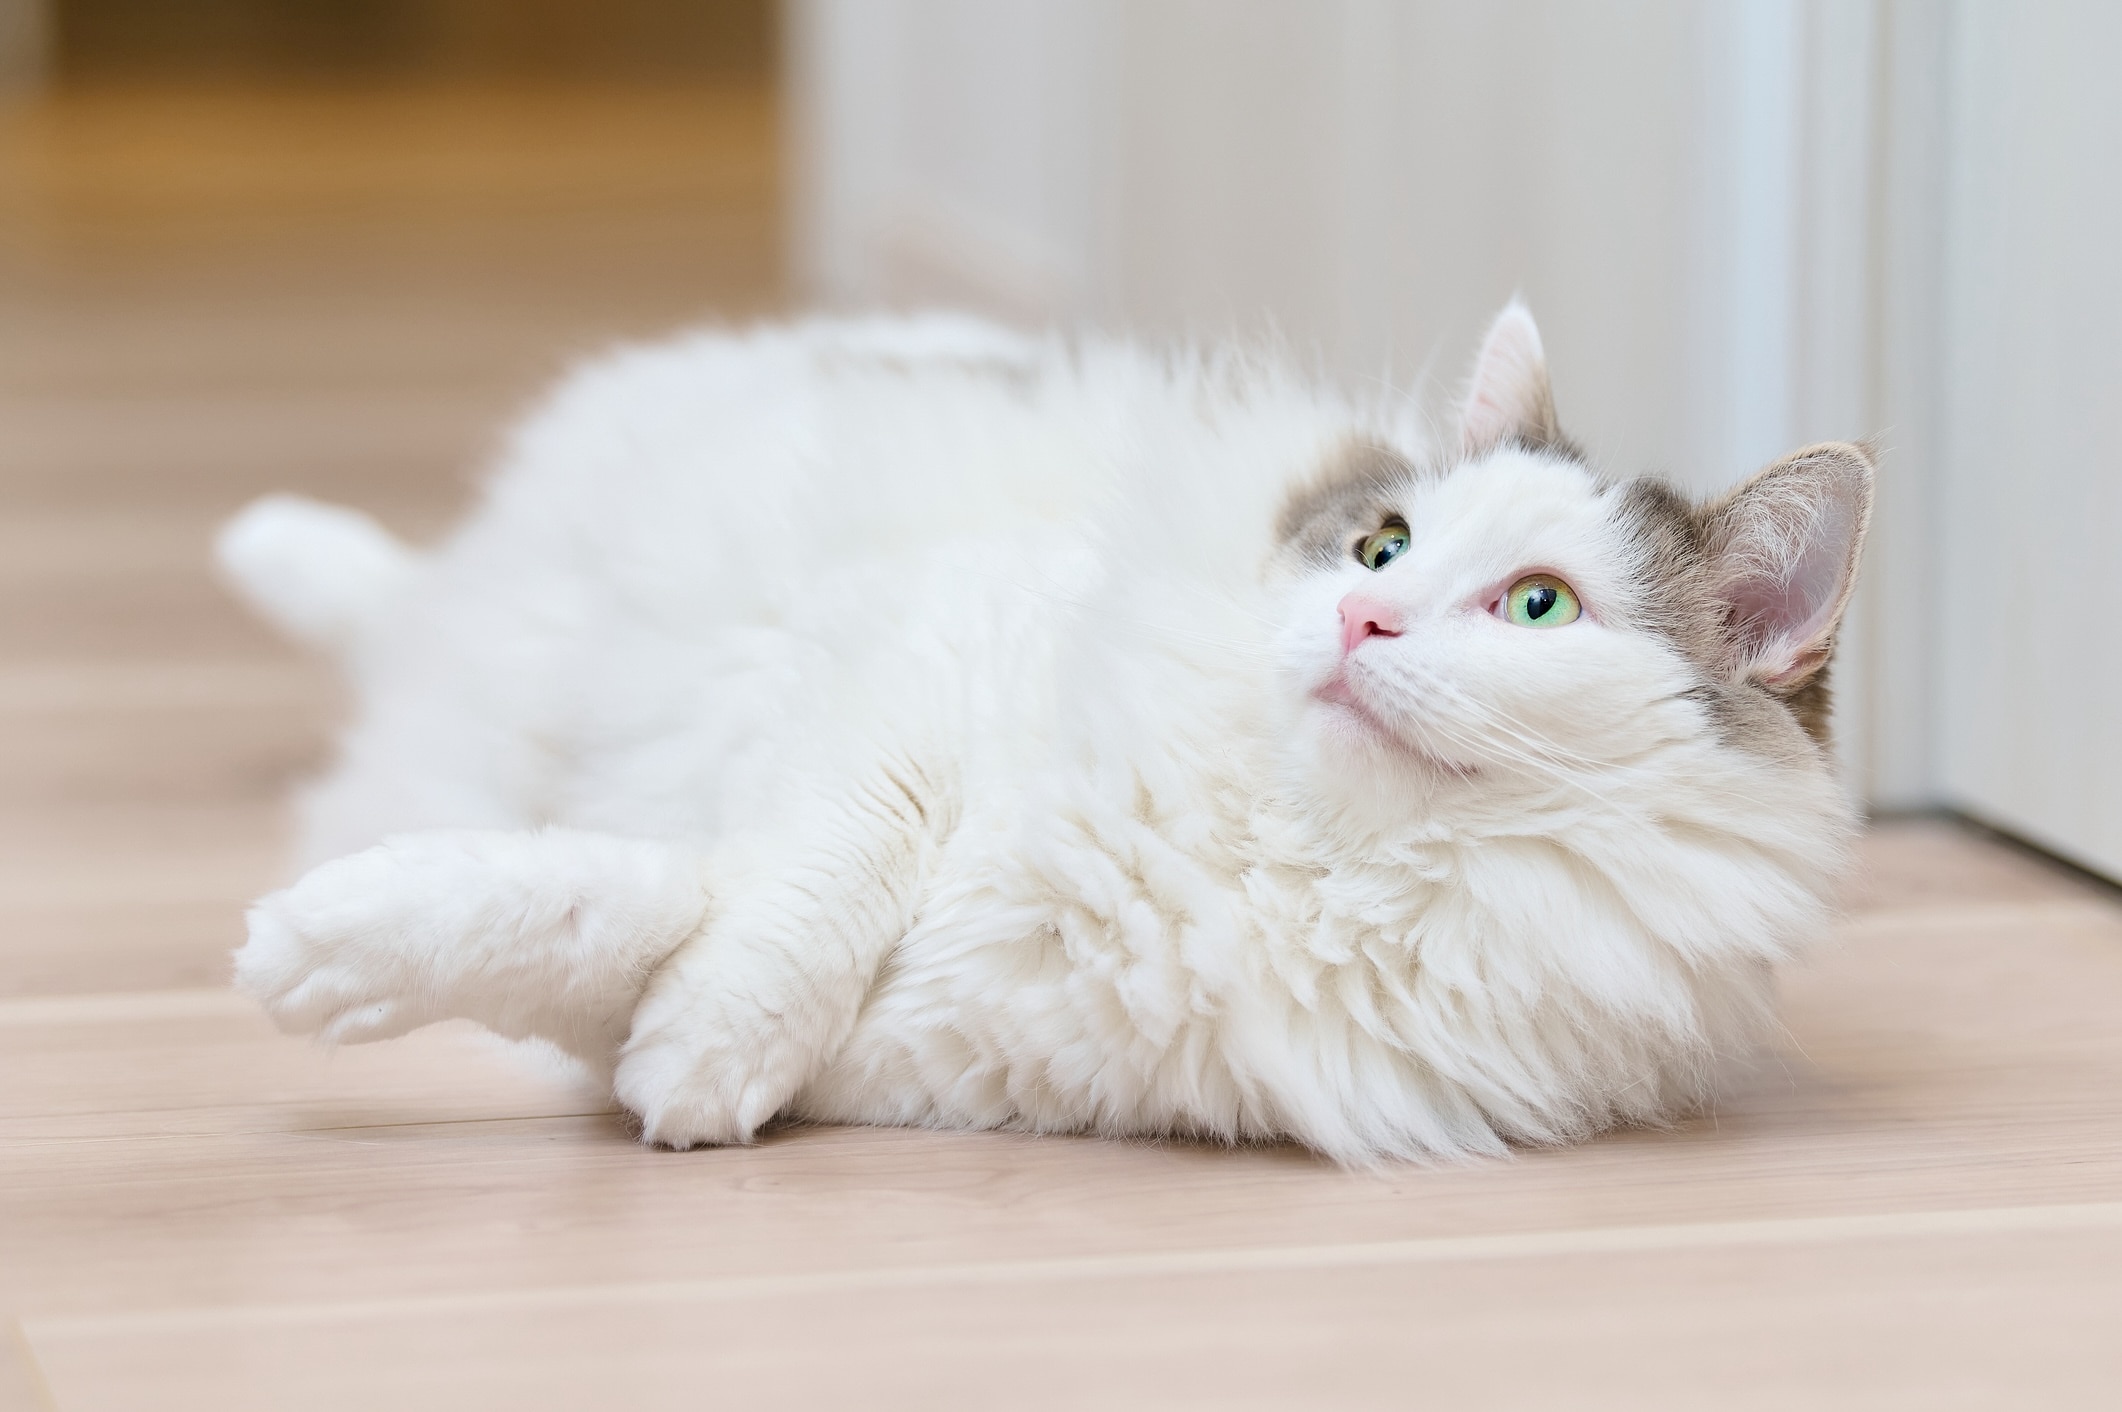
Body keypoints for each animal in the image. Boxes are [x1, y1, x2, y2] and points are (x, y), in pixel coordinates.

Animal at [219, 303, 1875, 1163]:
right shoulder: (913, 674)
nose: (1360, 622)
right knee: (393, 599)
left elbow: (624, 932)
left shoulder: (933, 1053)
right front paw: (316, 949)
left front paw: (341, 963)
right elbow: (786, 891)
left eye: (1537, 608)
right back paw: (270, 544)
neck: (1289, 846)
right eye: (1383, 546)